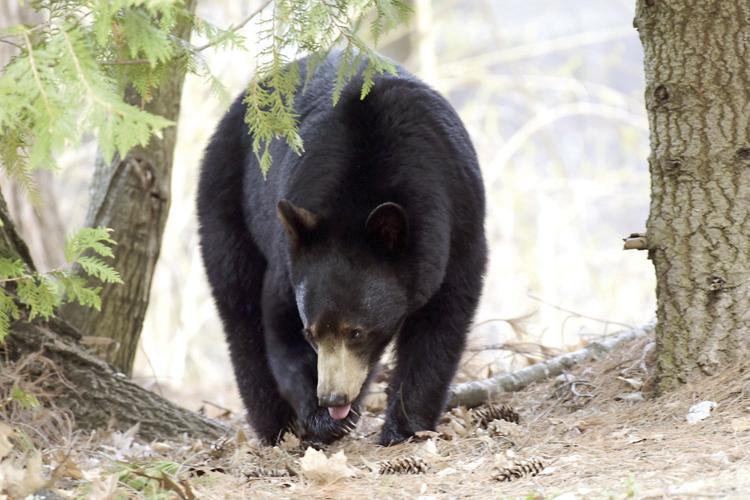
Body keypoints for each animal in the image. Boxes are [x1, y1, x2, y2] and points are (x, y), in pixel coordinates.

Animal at [197, 52, 487, 446]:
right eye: (311, 333)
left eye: (357, 332)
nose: (332, 398)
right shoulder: (290, 255)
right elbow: (279, 321)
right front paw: (322, 419)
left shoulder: (458, 217)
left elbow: (442, 322)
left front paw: (405, 425)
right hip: (226, 202)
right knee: (239, 306)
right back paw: (276, 427)